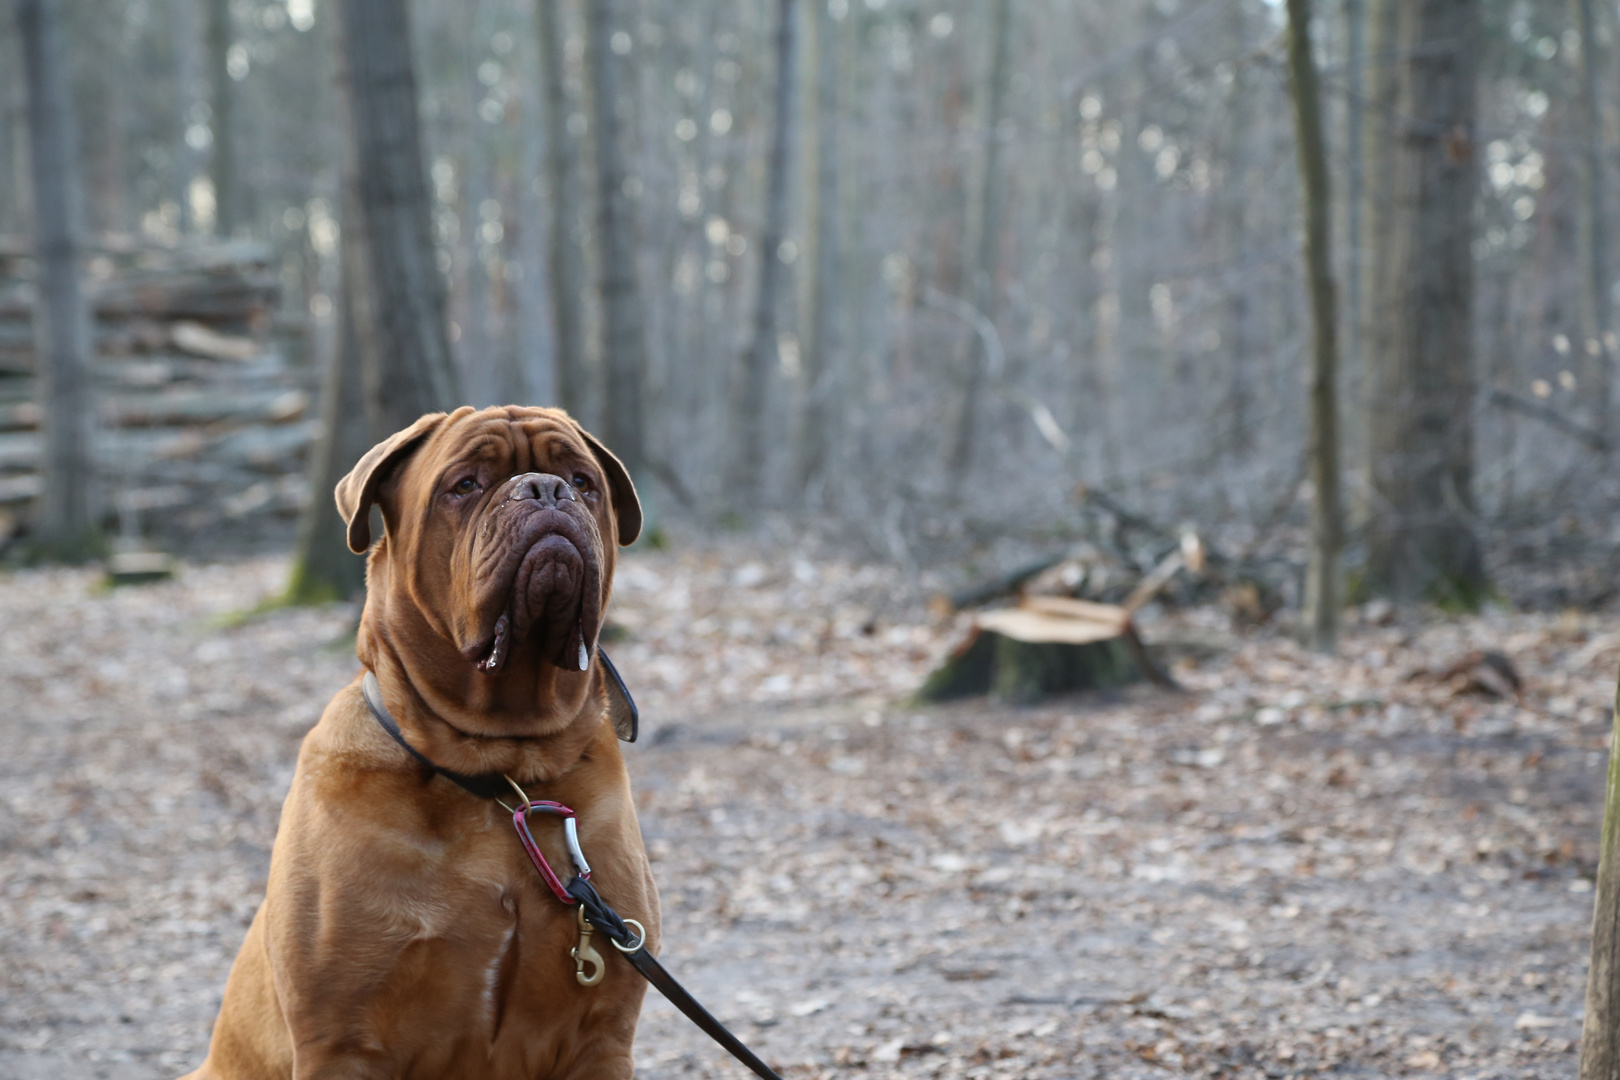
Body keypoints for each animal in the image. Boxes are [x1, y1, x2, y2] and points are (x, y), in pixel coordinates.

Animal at [191, 408, 664, 1080]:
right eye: (464, 485)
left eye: (582, 480)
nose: (546, 489)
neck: (498, 770)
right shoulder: (339, 1042)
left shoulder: (600, 1039)